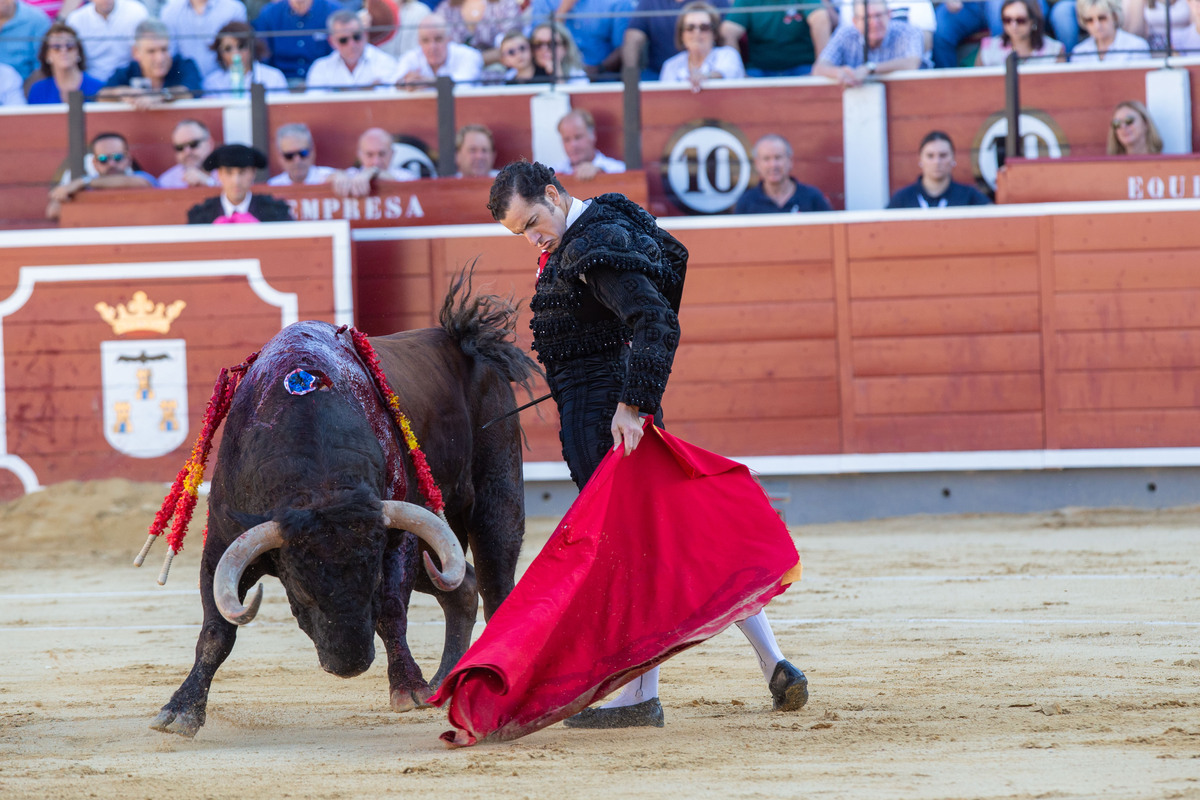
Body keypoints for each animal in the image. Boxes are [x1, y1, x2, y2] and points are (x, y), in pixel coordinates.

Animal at [148, 275, 535, 738]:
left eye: (373, 577)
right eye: (299, 588)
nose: (349, 664)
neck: (322, 485)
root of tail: (462, 339)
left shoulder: (397, 538)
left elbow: (392, 611)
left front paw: (409, 689)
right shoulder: (221, 544)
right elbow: (216, 630)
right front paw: (181, 710)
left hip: (497, 496)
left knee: (496, 584)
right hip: (437, 547)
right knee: (462, 586)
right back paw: (445, 681)